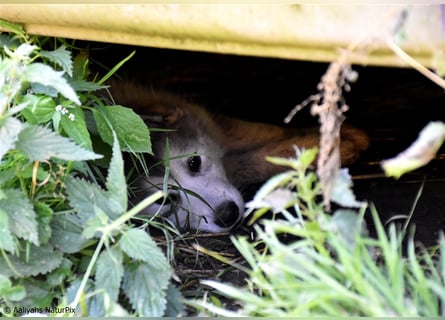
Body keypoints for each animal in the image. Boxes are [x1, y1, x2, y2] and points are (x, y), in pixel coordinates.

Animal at [107, 80, 368, 232]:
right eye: (165, 200)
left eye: (194, 162)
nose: (227, 214)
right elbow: (258, 160)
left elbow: (259, 130)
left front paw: (341, 135)